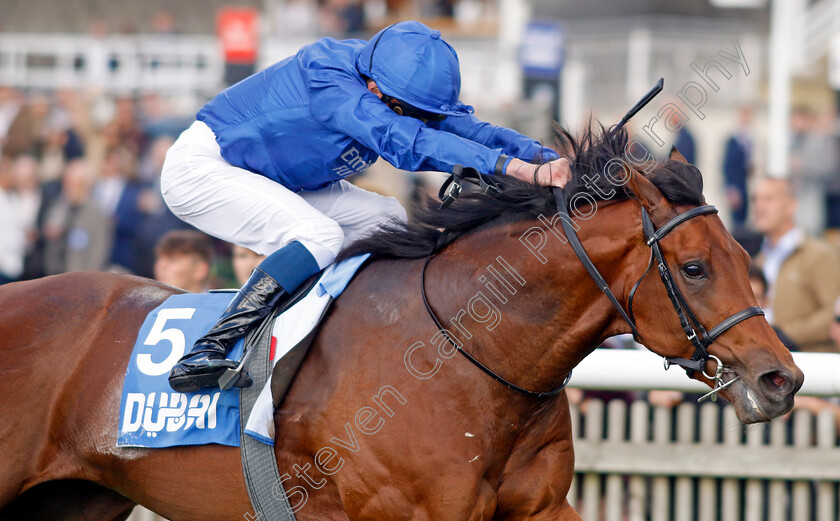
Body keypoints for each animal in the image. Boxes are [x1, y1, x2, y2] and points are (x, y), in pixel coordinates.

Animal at [0, 127, 800, 520]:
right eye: (694, 268)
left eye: (745, 255)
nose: (781, 378)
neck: (464, 352)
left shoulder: (538, 507)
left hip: (74, 501)